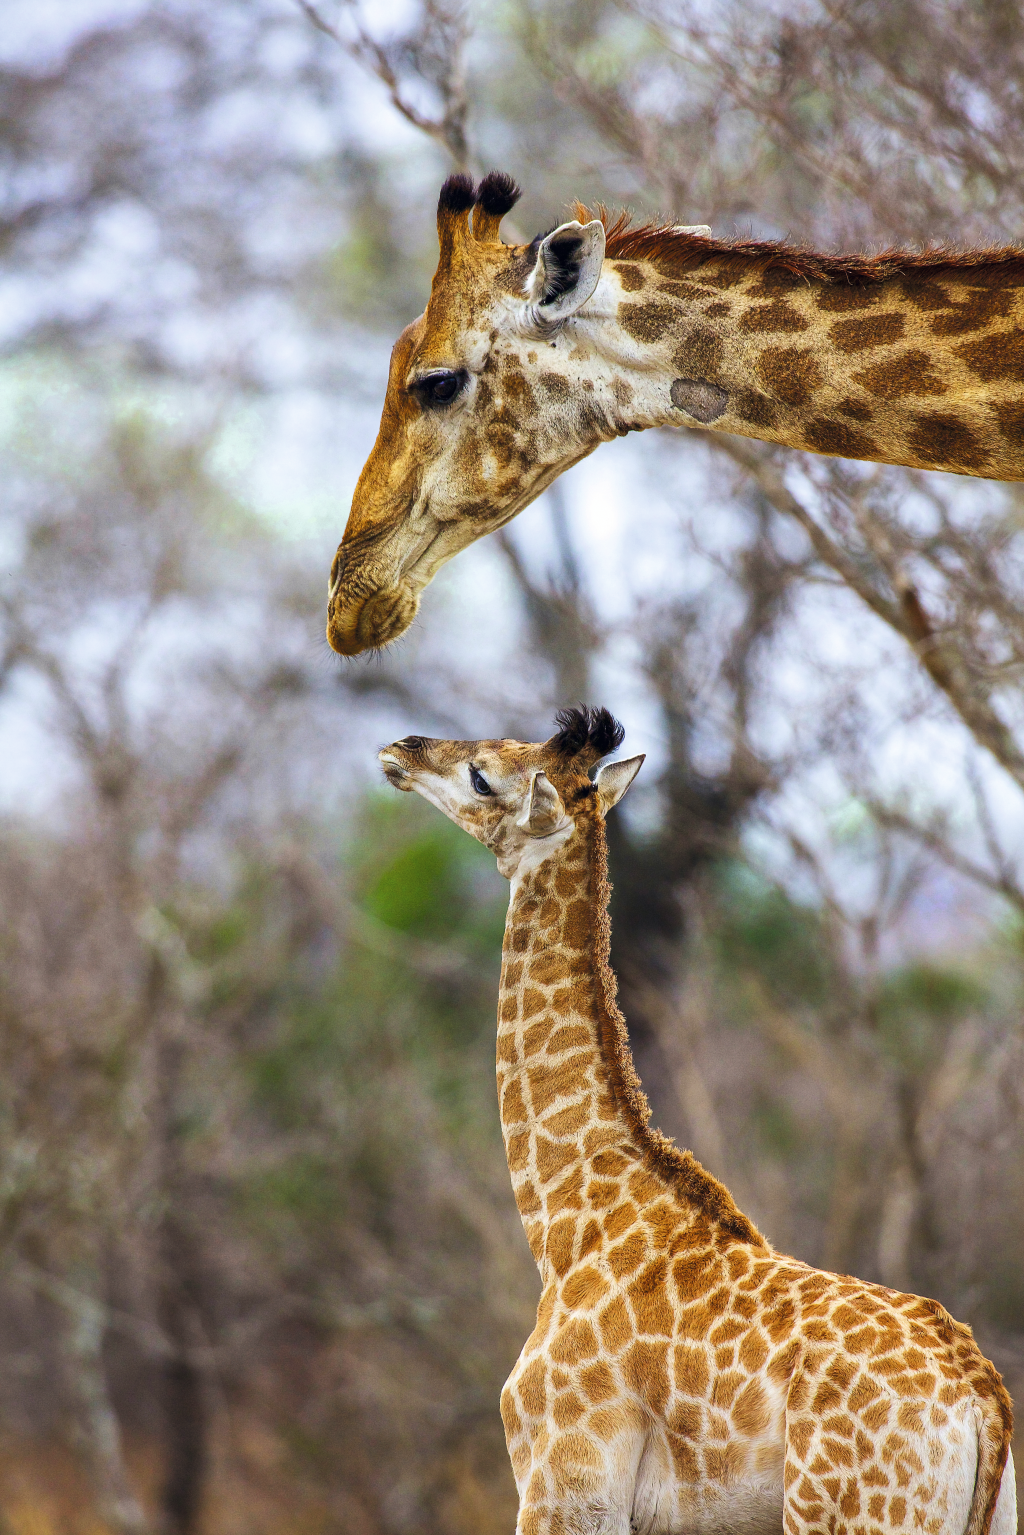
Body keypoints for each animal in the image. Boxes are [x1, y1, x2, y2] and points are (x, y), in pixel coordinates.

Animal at [380, 706, 1013, 1535]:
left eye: (483, 775)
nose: (401, 749)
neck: (564, 1221)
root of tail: (982, 1397)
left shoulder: (565, 1484)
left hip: (853, 1514)